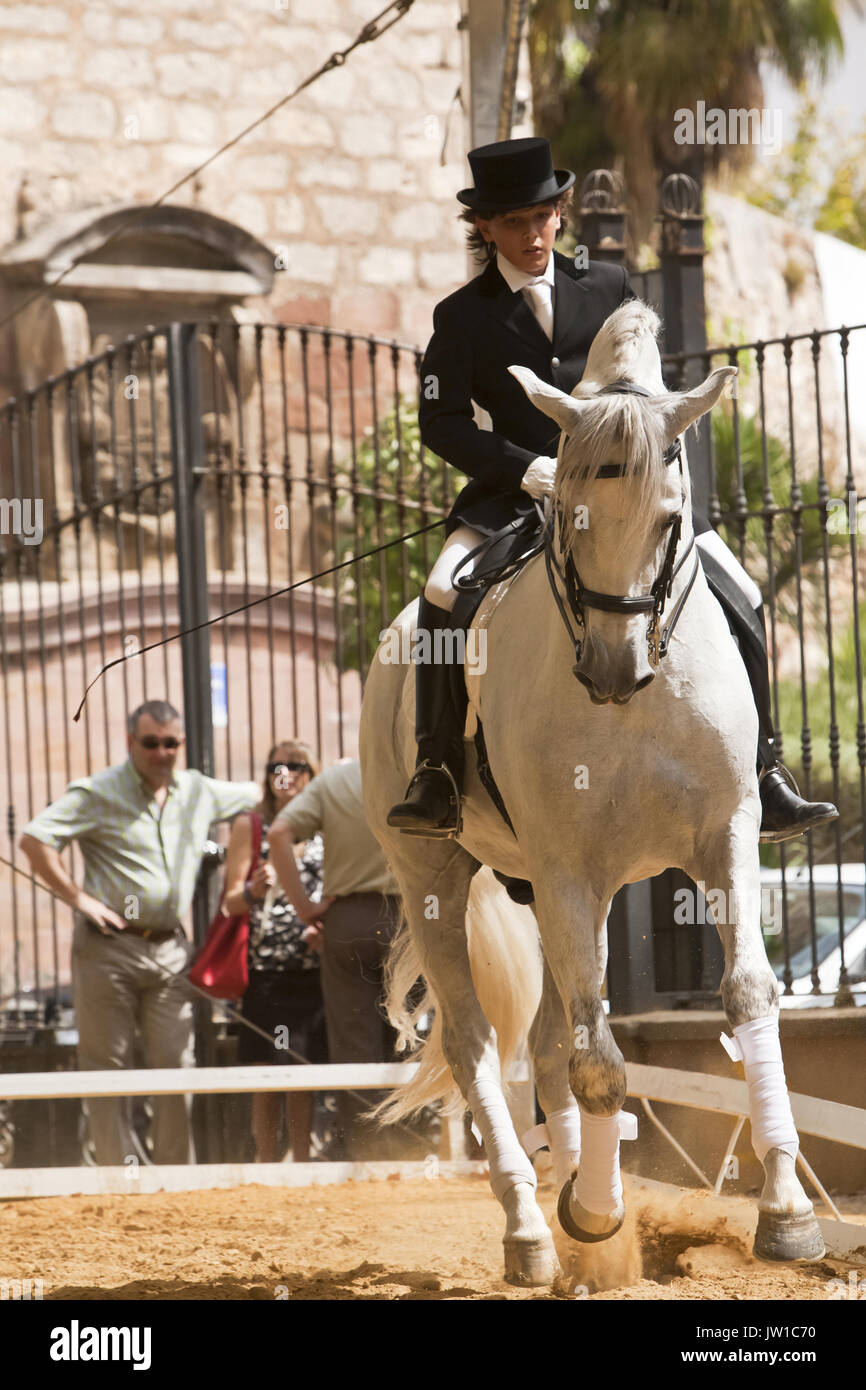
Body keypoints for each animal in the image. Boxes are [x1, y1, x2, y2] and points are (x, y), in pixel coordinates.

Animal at [358, 301, 828, 1278]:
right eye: (567, 519)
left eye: (669, 517)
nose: (613, 671)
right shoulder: (566, 868)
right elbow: (600, 1062)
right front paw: (597, 1215)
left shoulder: (725, 836)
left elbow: (747, 998)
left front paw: (786, 1211)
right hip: (440, 876)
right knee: (480, 1041)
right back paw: (535, 1230)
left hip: (564, 887)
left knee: (548, 1039)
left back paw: (571, 1206)